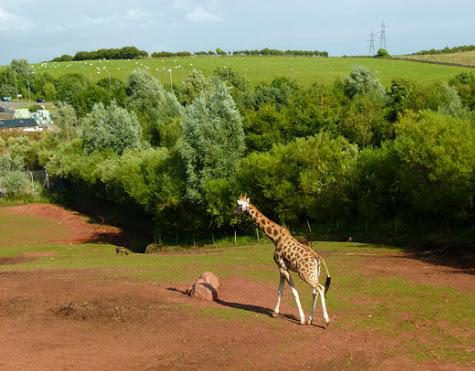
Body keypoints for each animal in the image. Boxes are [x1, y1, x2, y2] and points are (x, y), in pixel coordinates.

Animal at [237, 193, 332, 326]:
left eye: (239, 204)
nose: (234, 211)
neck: (275, 238)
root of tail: (317, 257)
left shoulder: (282, 266)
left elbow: (294, 292)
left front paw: (301, 319)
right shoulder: (282, 268)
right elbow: (280, 290)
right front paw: (275, 313)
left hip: (304, 274)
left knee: (320, 288)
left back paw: (326, 321)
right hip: (315, 273)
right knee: (315, 291)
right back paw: (310, 320)